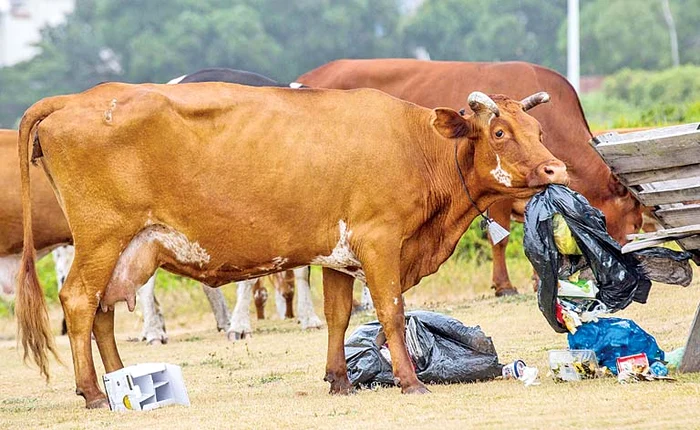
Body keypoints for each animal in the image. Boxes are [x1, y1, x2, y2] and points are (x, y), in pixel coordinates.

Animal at [16, 81, 568, 406]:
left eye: (538, 129)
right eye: (499, 132)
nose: (555, 169)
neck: (416, 146)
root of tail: (77, 97)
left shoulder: (339, 257)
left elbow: (339, 316)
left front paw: (339, 381)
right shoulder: (380, 243)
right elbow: (390, 311)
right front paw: (411, 381)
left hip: (127, 249)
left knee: (103, 312)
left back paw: (123, 384)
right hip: (101, 239)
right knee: (79, 301)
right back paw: (93, 392)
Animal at [298, 59, 644, 296]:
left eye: (539, 132)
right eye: (631, 219)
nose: (631, 263)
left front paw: (537, 278)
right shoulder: (500, 192)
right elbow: (500, 238)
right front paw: (504, 285)